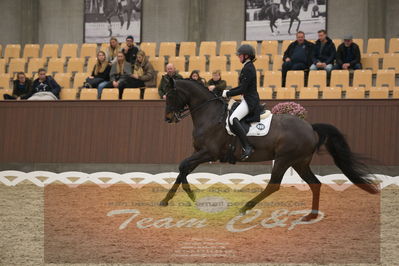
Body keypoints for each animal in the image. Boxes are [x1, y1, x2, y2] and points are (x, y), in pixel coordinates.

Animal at [161, 80, 380, 221]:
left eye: (170, 95)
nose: (168, 118)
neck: (210, 115)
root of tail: (310, 127)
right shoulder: (199, 153)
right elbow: (183, 169)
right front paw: (175, 199)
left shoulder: (209, 153)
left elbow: (182, 166)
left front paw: (188, 196)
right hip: (299, 162)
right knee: (315, 184)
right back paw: (311, 215)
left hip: (284, 159)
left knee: (274, 185)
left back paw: (245, 207)